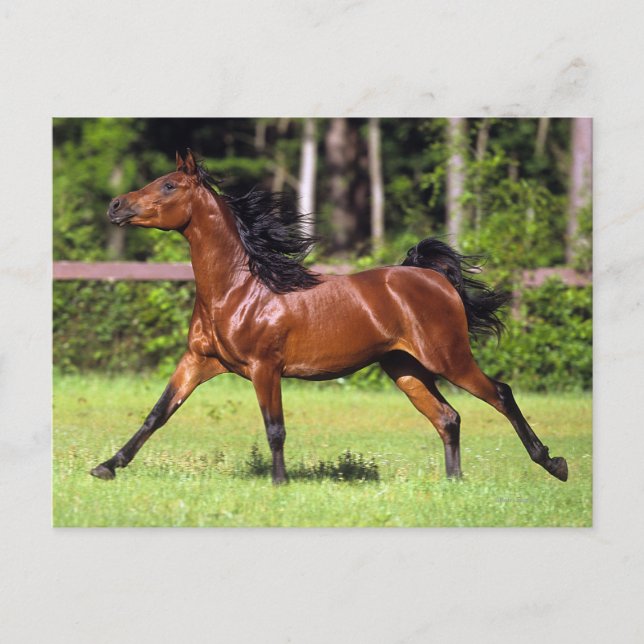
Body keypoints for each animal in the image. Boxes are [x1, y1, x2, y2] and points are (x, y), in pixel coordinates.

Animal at [90, 149, 568, 485]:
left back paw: (553, 463)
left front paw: (279, 484)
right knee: (448, 418)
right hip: (406, 368)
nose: (114, 206)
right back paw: (454, 482)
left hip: (448, 359)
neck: (240, 290)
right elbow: (157, 413)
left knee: (500, 394)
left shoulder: (265, 368)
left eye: (169, 185)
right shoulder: (199, 361)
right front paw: (107, 466)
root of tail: (434, 278)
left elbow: (275, 428)